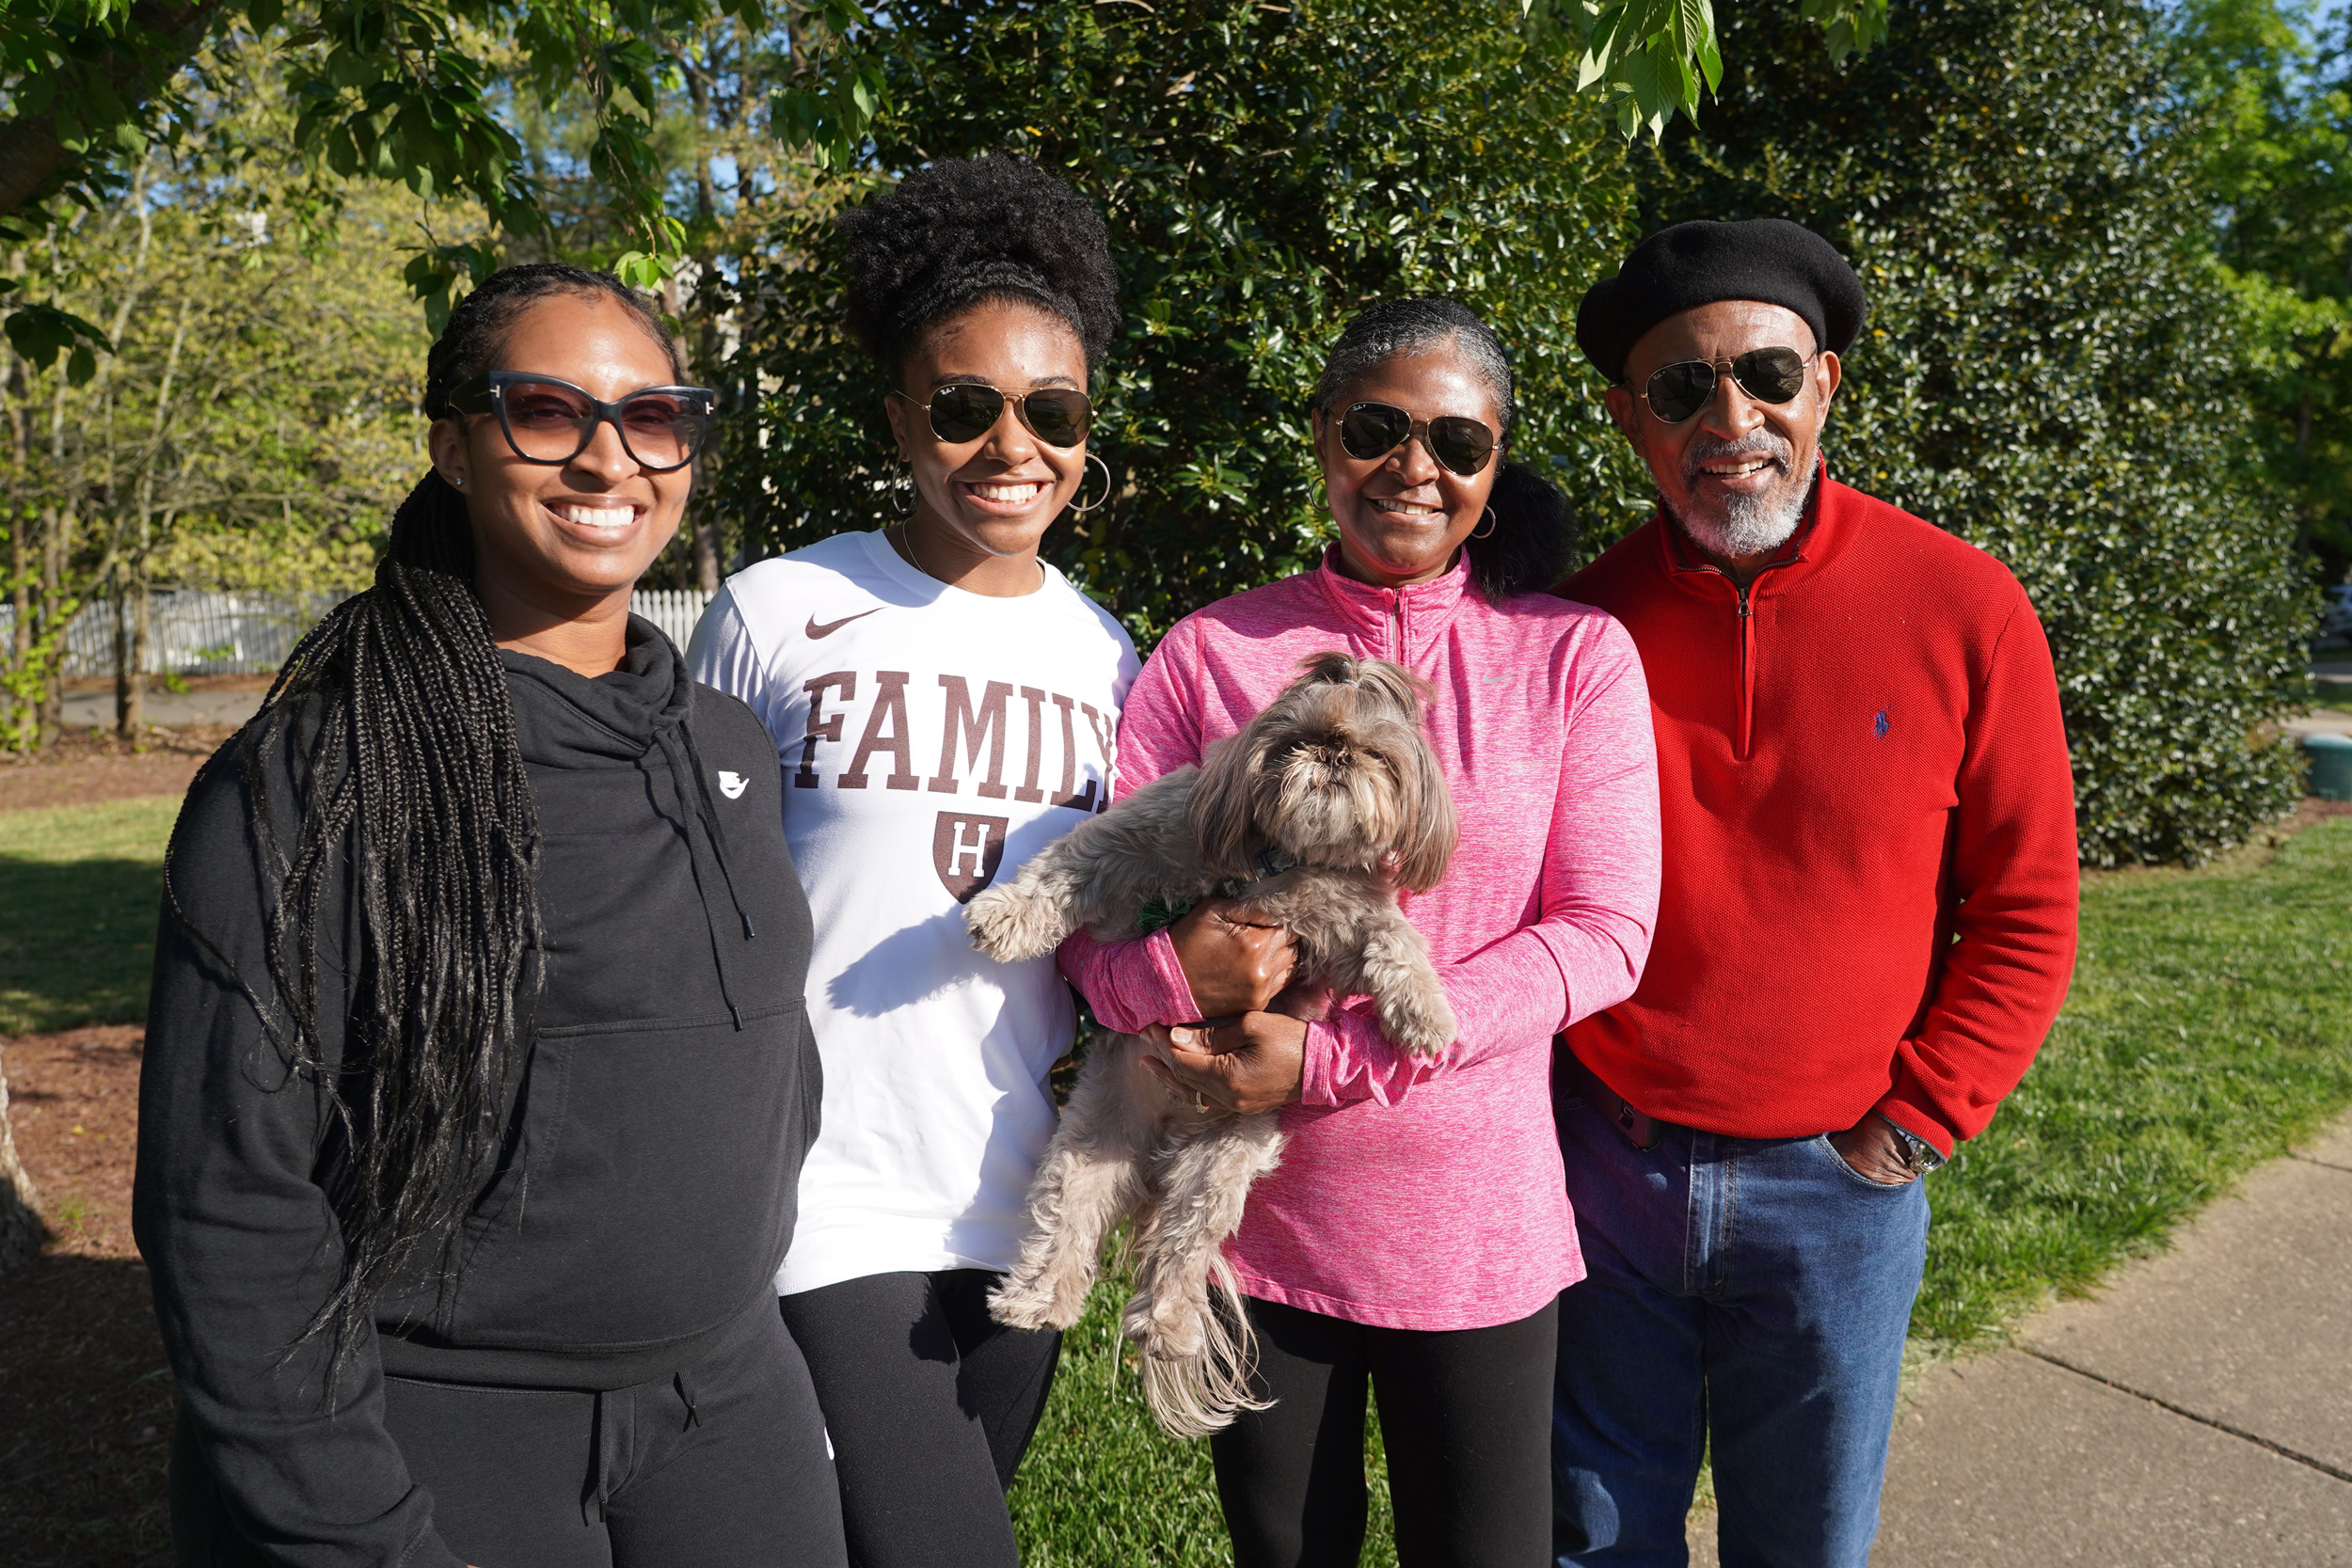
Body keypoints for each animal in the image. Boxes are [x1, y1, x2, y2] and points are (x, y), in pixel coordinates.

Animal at [964, 648, 1458, 1438]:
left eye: (1375, 752)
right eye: (1298, 738)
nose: (1334, 754)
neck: (1280, 861)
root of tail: (1164, 1143)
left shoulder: (1345, 920)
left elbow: (1395, 941)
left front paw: (1426, 1012)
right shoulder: (1148, 832)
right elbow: (1064, 868)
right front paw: (1003, 915)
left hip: (1224, 1162)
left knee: (1182, 1245)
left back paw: (1165, 1323)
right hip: (1092, 1141)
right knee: (1065, 1222)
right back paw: (1036, 1300)